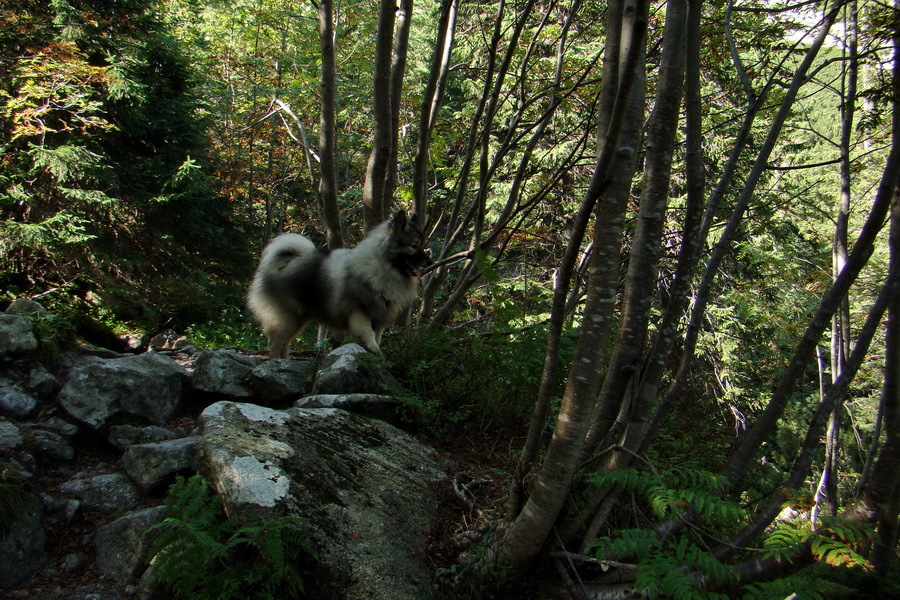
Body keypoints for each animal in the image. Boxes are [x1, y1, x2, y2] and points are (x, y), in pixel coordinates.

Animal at [246, 212, 428, 358]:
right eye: (414, 246)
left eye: (422, 245)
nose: (430, 260)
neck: (382, 266)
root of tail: (283, 262)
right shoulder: (358, 311)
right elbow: (368, 333)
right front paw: (375, 350)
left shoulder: (380, 316)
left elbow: (377, 336)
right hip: (286, 317)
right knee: (275, 342)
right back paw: (275, 361)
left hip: (297, 319)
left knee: (285, 342)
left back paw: (285, 360)